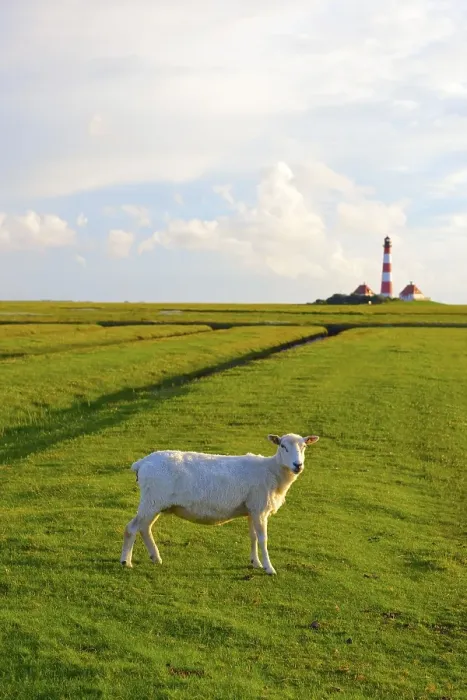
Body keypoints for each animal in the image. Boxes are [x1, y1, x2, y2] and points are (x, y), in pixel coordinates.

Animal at [120, 432, 319, 575]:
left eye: (304, 447)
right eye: (283, 446)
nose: (298, 465)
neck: (273, 471)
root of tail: (142, 463)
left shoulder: (252, 509)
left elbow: (253, 537)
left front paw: (255, 562)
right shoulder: (260, 508)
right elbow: (263, 539)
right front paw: (269, 568)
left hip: (156, 502)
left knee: (145, 528)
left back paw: (155, 557)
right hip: (152, 500)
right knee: (132, 528)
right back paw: (126, 562)